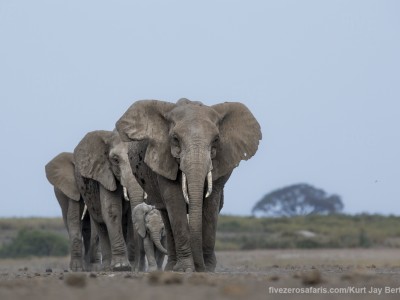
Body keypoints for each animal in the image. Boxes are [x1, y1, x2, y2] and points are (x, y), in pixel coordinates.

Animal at [74, 130, 145, 270]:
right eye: (116, 160)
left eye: (139, 158)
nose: (137, 268)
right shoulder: (104, 174)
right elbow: (112, 210)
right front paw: (121, 267)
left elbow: (130, 216)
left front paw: (130, 267)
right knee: (100, 224)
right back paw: (107, 267)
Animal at [115, 98, 260, 272]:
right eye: (175, 138)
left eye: (216, 140)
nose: (200, 267)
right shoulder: (162, 160)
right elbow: (175, 201)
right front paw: (186, 269)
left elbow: (211, 205)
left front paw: (207, 269)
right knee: (166, 216)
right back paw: (172, 267)